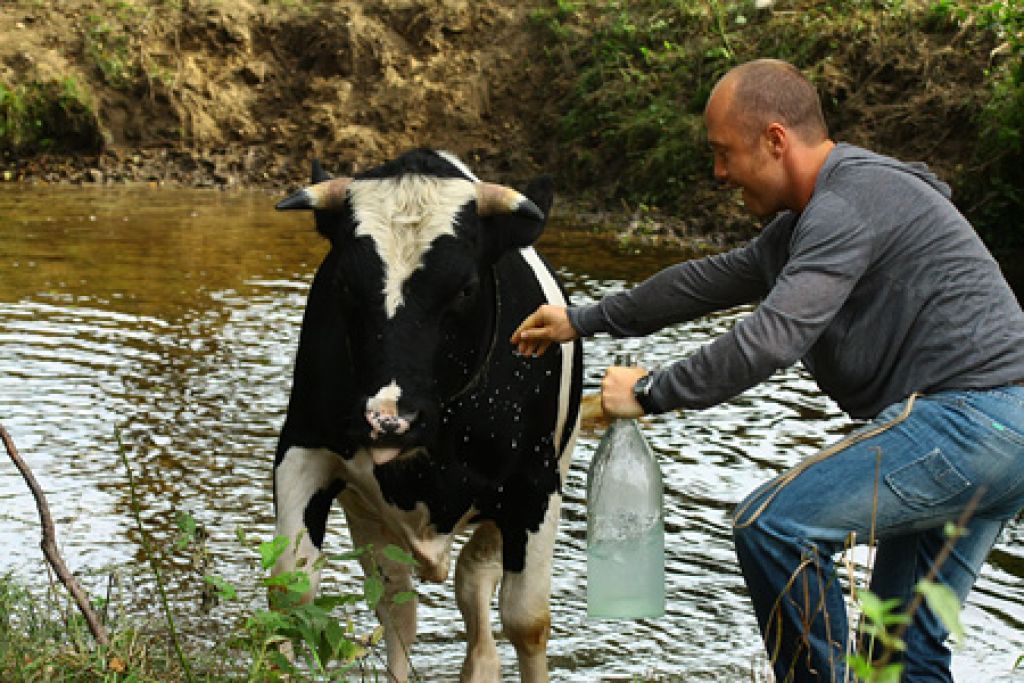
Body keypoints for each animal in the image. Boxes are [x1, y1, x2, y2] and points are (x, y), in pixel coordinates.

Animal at [270, 147, 585, 679]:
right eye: (344, 284)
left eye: (465, 287)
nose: (389, 420)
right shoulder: (303, 449)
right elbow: (292, 591)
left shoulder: (535, 486)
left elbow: (527, 621)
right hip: (368, 513)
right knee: (399, 604)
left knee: (474, 594)